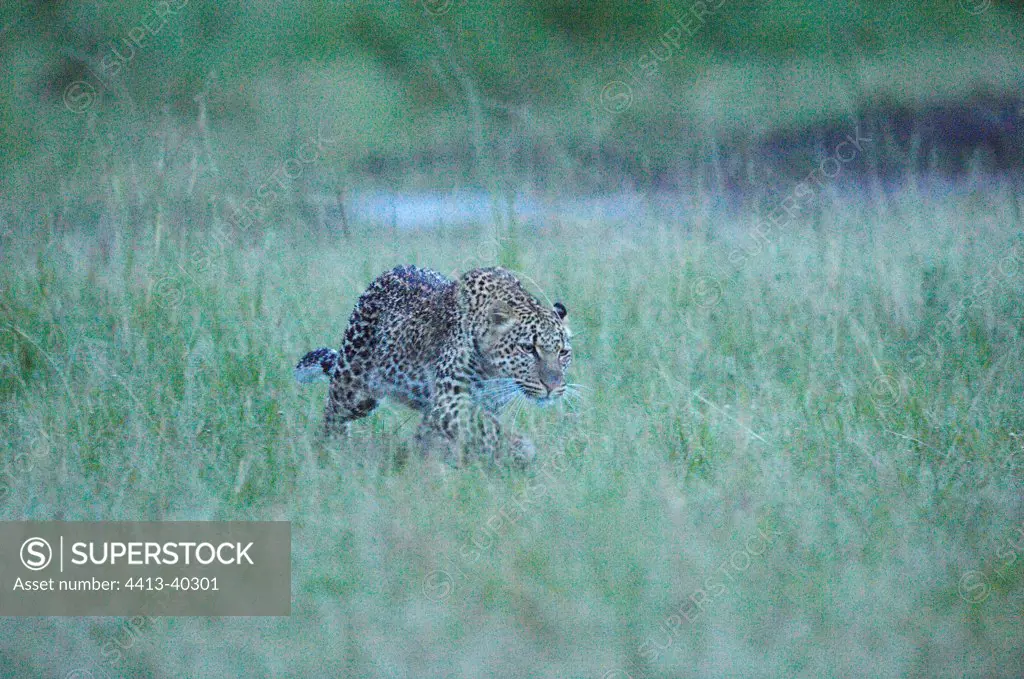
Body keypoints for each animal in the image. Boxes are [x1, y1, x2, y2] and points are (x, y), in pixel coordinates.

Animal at [292, 266, 573, 467]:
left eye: (563, 353)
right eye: (528, 349)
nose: (553, 386)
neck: (496, 373)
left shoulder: (479, 405)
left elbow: (479, 431)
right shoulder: (450, 400)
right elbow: (484, 428)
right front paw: (519, 449)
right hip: (355, 389)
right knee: (333, 413)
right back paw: (333, 451)